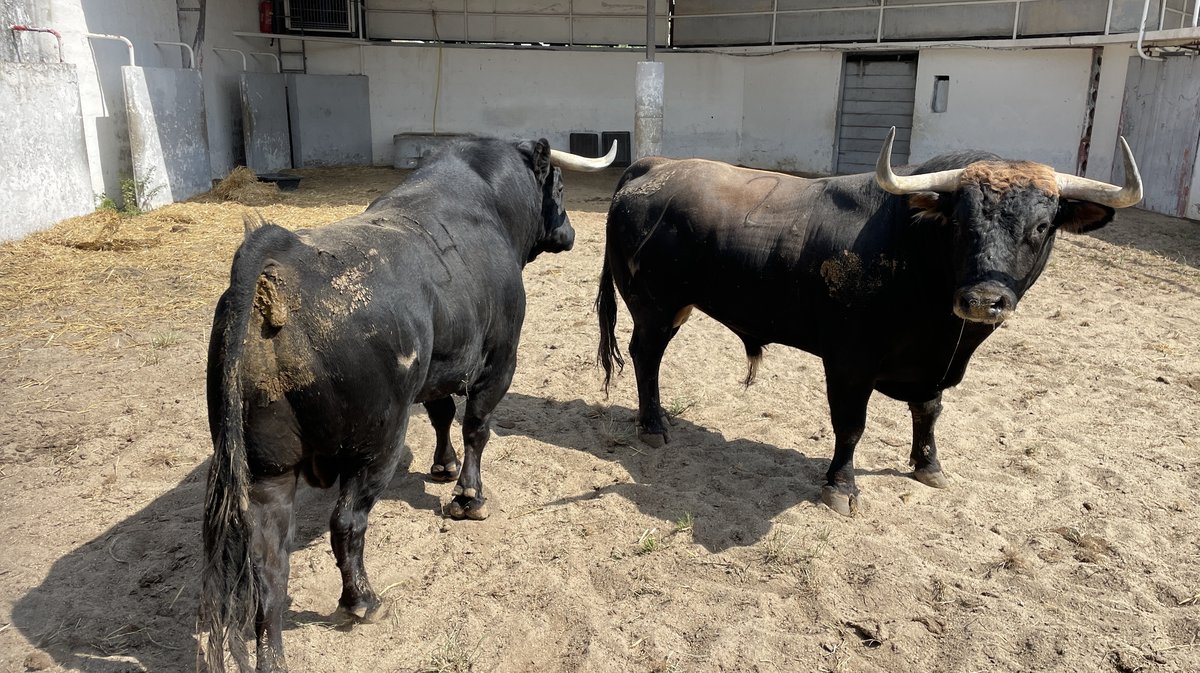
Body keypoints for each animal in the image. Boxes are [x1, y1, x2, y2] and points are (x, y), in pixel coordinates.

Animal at [202, 137, 614, 671]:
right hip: (377, 441)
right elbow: (476, 426)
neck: (489, 202)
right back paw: (363, 601)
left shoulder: (439, 368)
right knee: (347, 521)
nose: (570, 232)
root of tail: (279, 258)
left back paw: (274, 656)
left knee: (268, 567)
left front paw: (442, 466)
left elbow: (441, 415)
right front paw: (468, 497)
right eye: (559, 187)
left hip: (267, 470)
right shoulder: (500, 358)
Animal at [600, 131, 1142, 515]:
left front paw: (929, 465)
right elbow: (851, 425)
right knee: (646, 356)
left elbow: (929, 412)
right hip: (656, 307)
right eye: (959, 223)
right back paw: (653, 424)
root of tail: (656, 166)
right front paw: (841, 487)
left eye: (1041, 226)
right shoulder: (849, 361)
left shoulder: (930, 366)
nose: (985, 300)